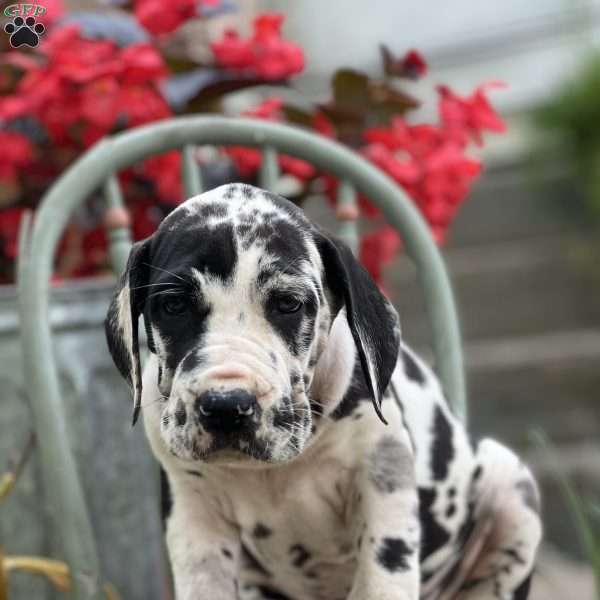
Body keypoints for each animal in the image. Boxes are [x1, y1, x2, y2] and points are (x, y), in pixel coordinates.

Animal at [105, 184, 540, 600]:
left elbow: (384, 577)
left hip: (513, 490)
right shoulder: (193, 510)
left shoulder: (383, 472)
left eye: (289, 303)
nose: (227, 406)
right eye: (173, 305)